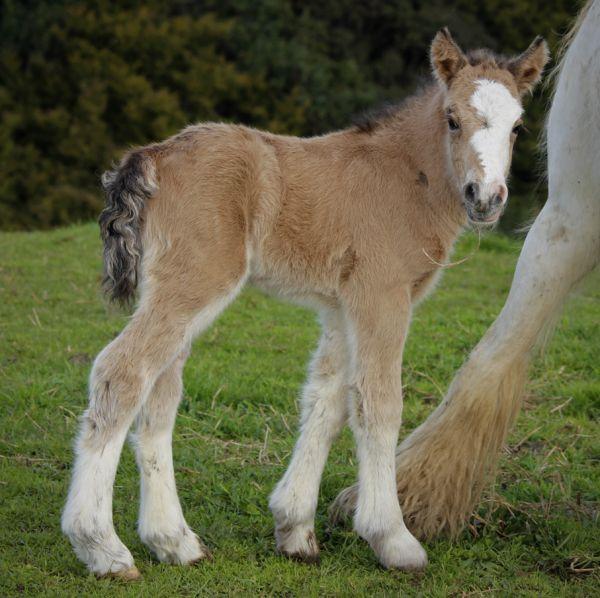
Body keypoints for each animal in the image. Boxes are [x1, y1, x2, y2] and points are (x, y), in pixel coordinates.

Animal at [62, 30, 548, 580]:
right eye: (452, 118)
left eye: (518, 126)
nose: (486, 198)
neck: (407, 179)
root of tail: (154, 155)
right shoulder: (382, 296)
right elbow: (379, 403)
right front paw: (393, 539)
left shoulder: (340, 307)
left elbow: (326, 401)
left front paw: (294, 529)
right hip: (196, 283)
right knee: (121, 372)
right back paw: (103, 548)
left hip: (171, 290)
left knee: (159, 395)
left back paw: (174, 542)